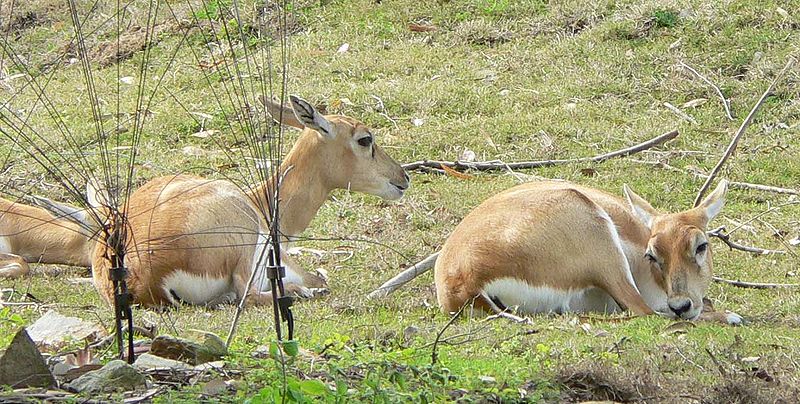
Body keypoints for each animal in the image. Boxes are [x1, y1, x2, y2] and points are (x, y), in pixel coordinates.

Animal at [78, 94, 410, 308]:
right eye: (365, 139)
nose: (403, 178)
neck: (261, 202)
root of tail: (142, 276)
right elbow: (318, 278)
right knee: (246, 294)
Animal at [438, 180, 744, 326]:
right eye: (652, 255)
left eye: (700, 246)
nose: (680, 305)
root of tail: (463, 281)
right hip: (605, 251)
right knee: (644, 311)